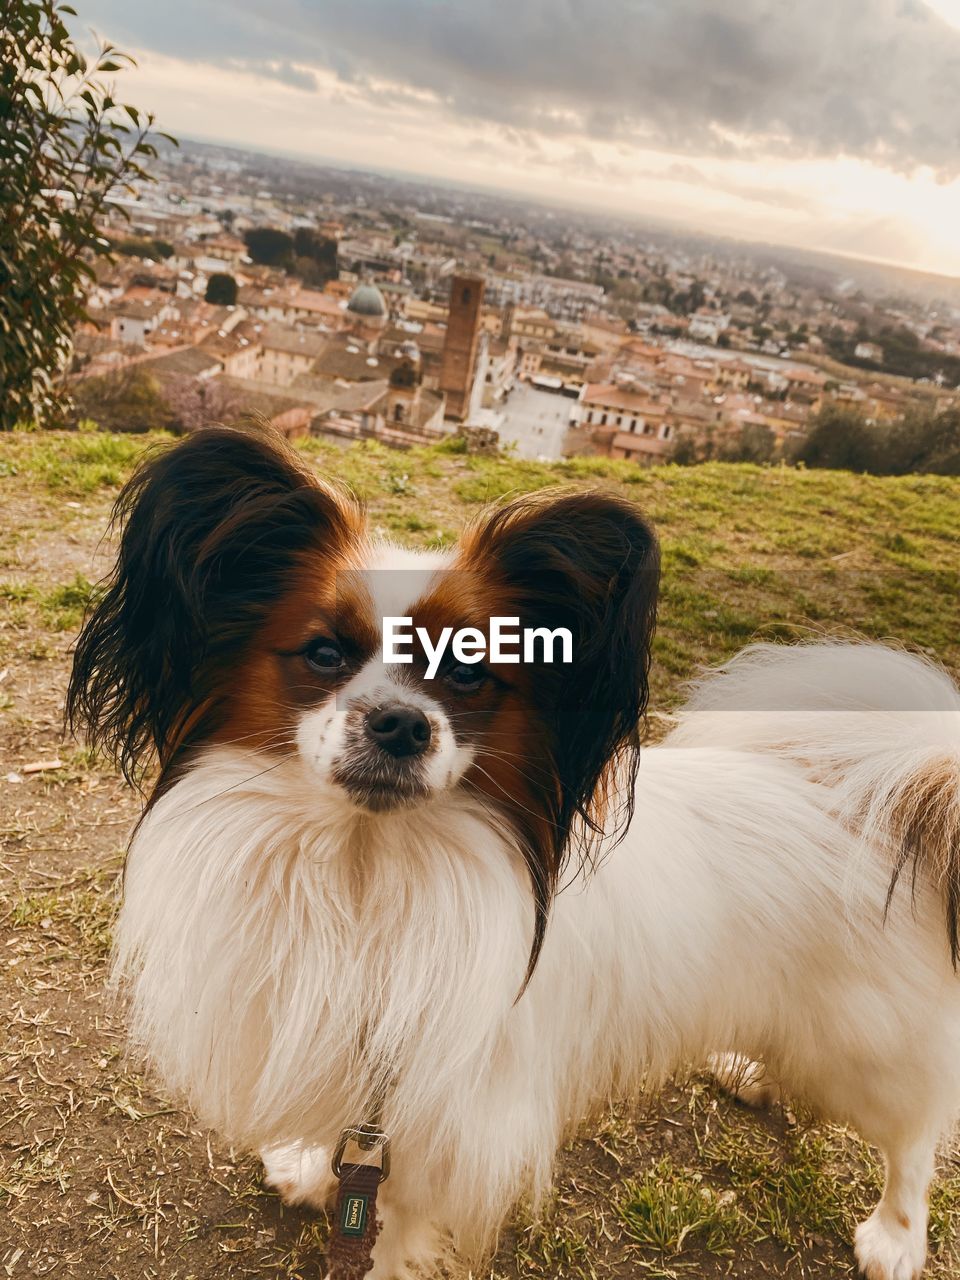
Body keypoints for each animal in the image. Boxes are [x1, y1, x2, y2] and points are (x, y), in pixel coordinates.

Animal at [69, 424, 960, 1274]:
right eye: (324, 653)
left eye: (469, 674)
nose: (401, 723)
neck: (367, 867)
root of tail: (890, 805)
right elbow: (348, 1144)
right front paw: (313, 1168)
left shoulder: (449, 1121)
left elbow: (391, 1220)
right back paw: (752, 1070)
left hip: (866, 1054)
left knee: (915, 1135)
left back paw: (895, 1237)